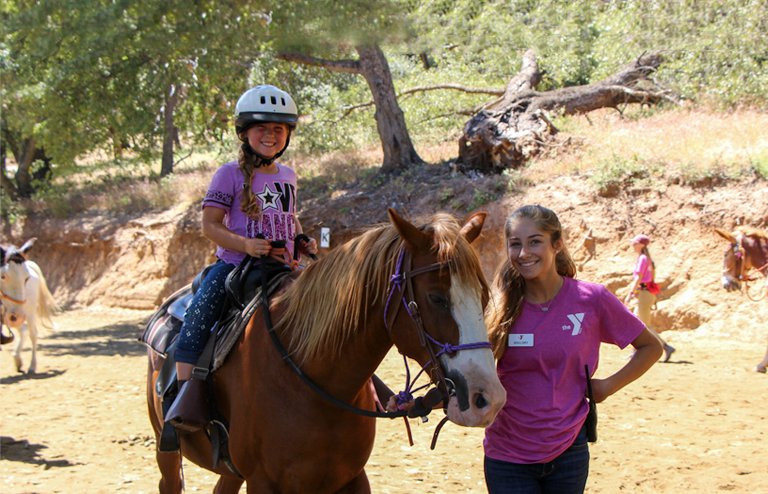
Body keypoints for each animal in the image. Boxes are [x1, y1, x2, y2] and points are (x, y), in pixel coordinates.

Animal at [0, 237, 60, 372]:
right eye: (2, 276)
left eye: (26, 278)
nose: (17, 316)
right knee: (24, 329)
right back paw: (17, 358)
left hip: (27, 312)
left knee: (33, 333)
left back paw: (32, 366)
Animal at [147, 209, 508, 494]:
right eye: (436, 298)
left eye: (483, 295)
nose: (488, 399)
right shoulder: (263, 482)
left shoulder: (350, 478)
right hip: (167, 449)